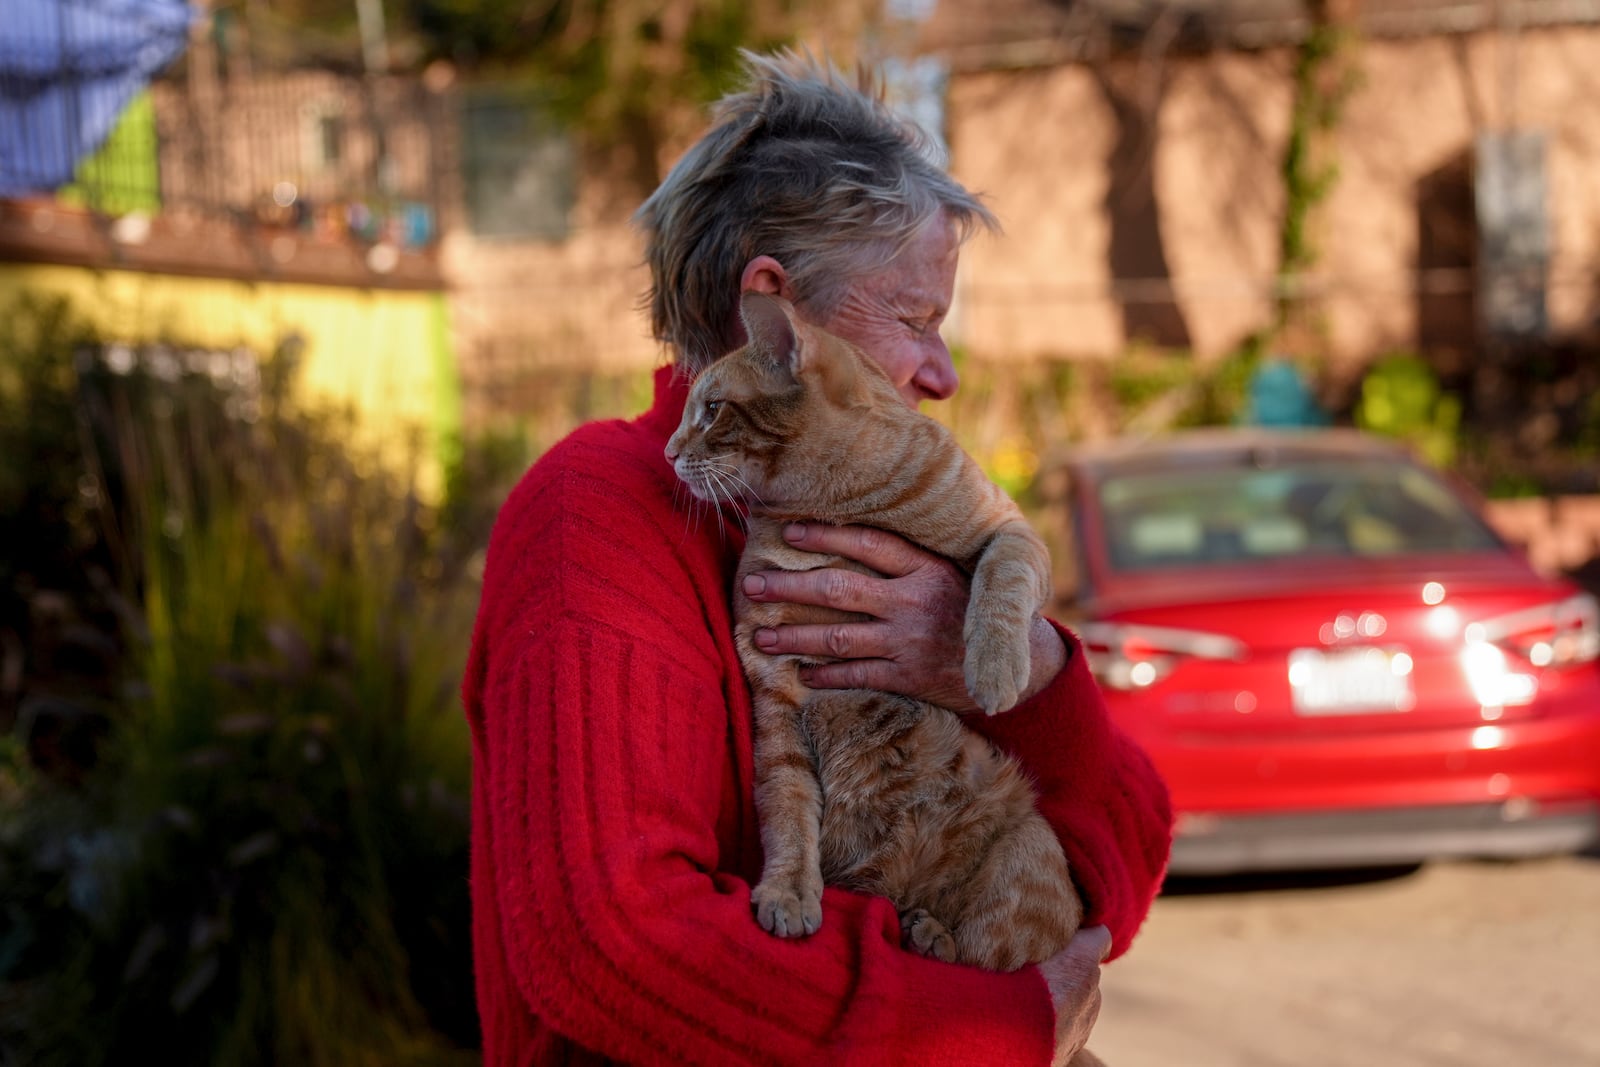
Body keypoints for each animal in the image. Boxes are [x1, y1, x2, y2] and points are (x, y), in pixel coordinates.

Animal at [662, 292, 1088, 991]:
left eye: (713, 408)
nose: (671, 453)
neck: (842, 507)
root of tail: (899, 890)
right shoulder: (776, 695)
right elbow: (788, 807)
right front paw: (787, 893)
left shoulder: (1013, 531)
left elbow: (1000, 582)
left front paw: (995, 669)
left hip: (1028, 852)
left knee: (990, 951)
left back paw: (931, 931)